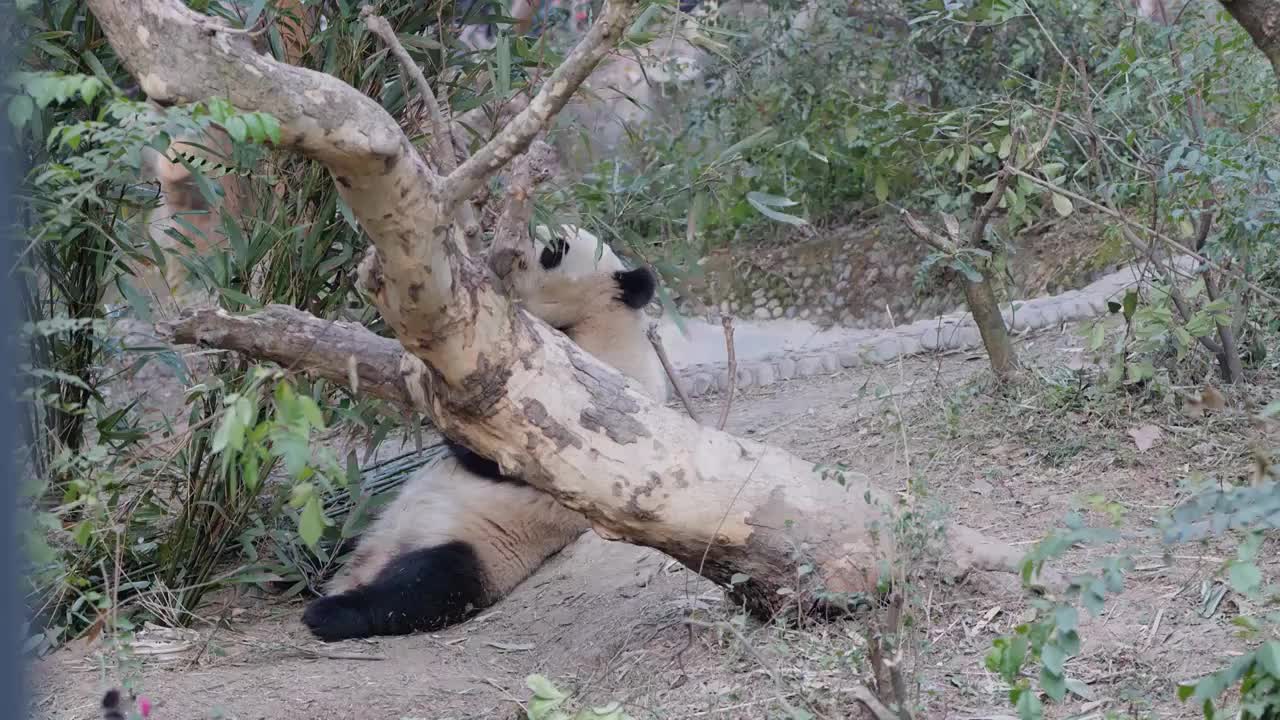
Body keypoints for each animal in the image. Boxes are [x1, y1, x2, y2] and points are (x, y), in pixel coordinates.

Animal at [302, 224, 670, 638]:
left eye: (555, 249)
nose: (502, 240)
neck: (603, 321)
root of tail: (369, 564)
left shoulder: (590, 405)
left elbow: (499, 455)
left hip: (484, 547)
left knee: (426, 586)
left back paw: (331, 611)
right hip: (364, 526)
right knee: (325, 534)